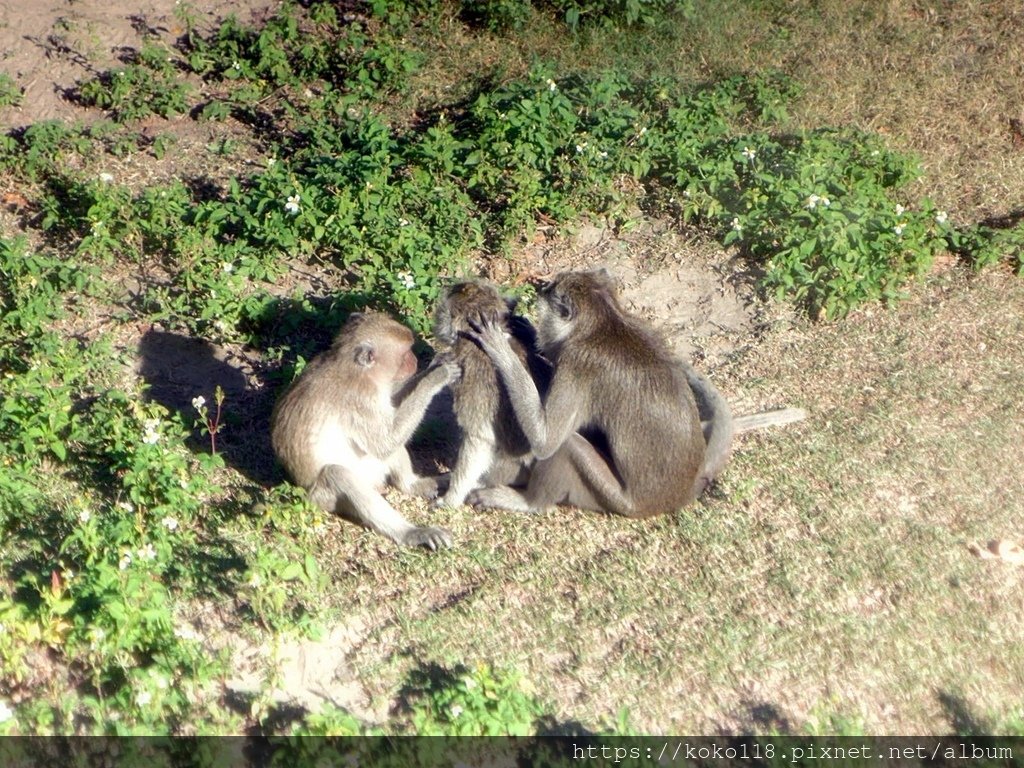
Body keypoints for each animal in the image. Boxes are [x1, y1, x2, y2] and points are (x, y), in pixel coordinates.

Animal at [274, 309, 462, 548]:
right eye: (405, 353)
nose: (415, 360)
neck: (354, 368)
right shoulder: (360, 398)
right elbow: (385, 441)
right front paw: (437, 377)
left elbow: (391, 417)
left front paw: (435, 365)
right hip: (325, 498)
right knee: (339, 473)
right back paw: (411, 532)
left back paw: (413, 485)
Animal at [466, 268, 806, 518]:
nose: (541, 286)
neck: (606, 319)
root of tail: (681, 491)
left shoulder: (580, 363)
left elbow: (546, 441)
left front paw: (499, 348)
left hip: (610, 496)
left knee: (567, 446)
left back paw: (529, 503)